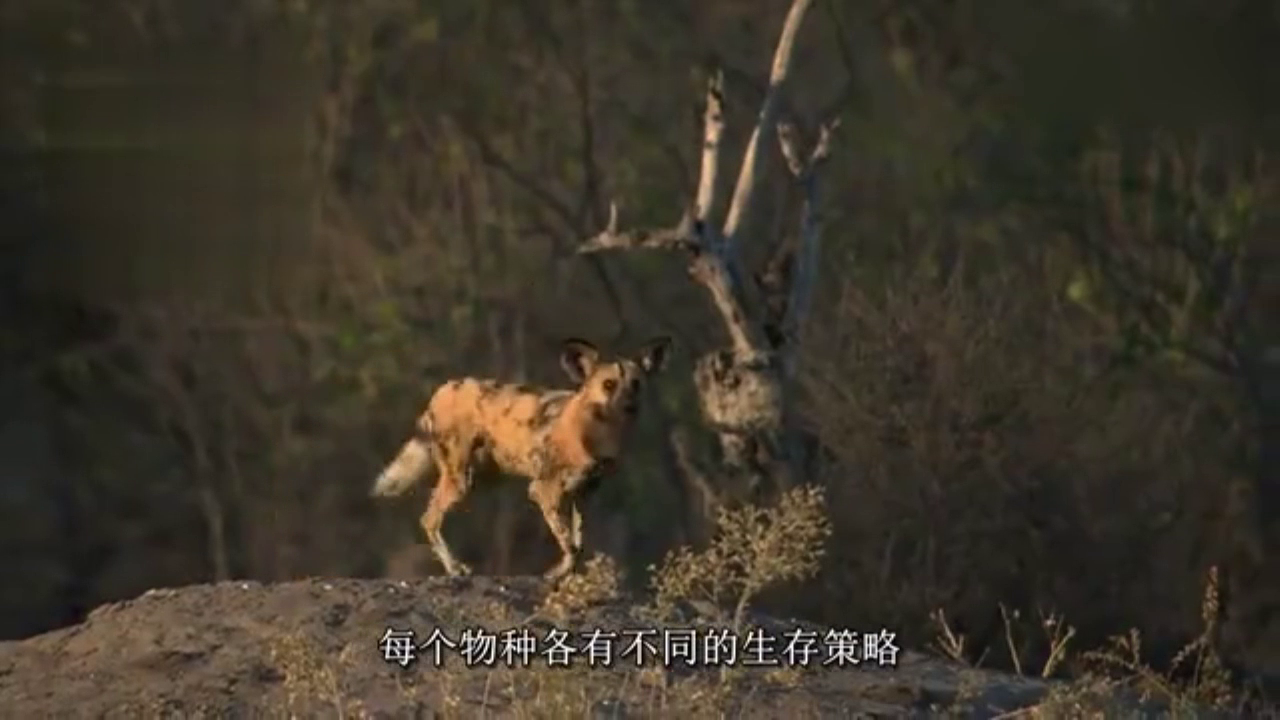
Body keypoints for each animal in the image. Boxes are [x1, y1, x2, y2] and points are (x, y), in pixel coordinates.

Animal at [368, 335, 675, 576]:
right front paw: (558, 572)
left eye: (636, 384)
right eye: (609, 385)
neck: (597, 434)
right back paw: (455, 569)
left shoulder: (583, 495)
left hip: (479, 476)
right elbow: (570, 543)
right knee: (429, 519)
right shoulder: (543, 491)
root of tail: (444, 389)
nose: (630, 406)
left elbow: (579, 540)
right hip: (461, 480)